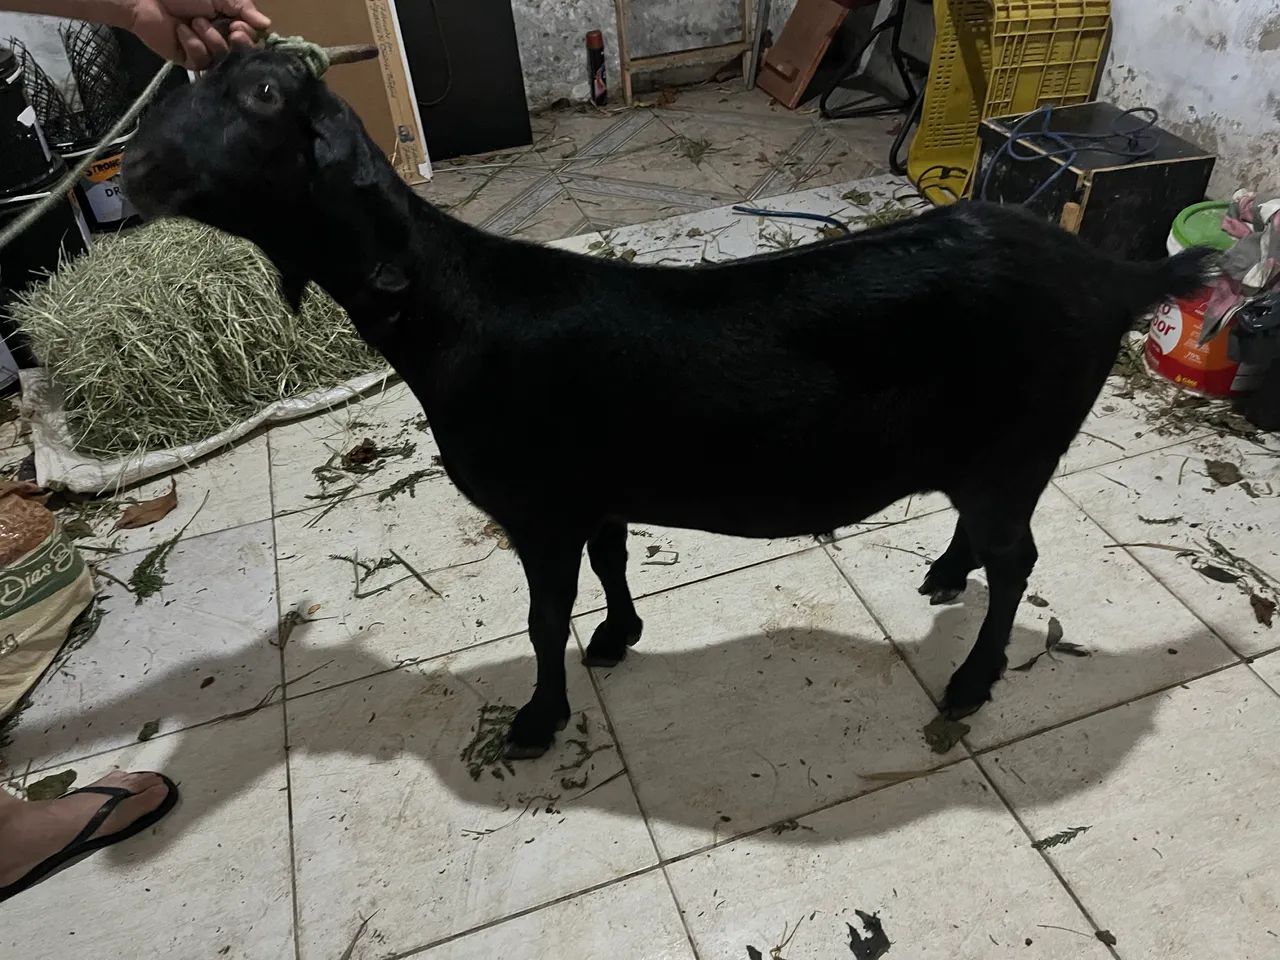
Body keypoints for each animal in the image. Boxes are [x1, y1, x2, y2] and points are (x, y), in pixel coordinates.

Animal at [123, 48, 1214, 759]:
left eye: (265, 93)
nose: (132, 168)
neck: (452, 306)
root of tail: (1111, 277)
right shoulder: (597, 489)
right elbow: (610, 562)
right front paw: (618, 638)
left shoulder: (539, 506)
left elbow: (542, 617)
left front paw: (536, 721)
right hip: (985, 451)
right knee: (988, 539)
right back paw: (944, 578)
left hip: (1019, 441)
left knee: (1019, 556)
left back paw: (971, 680)